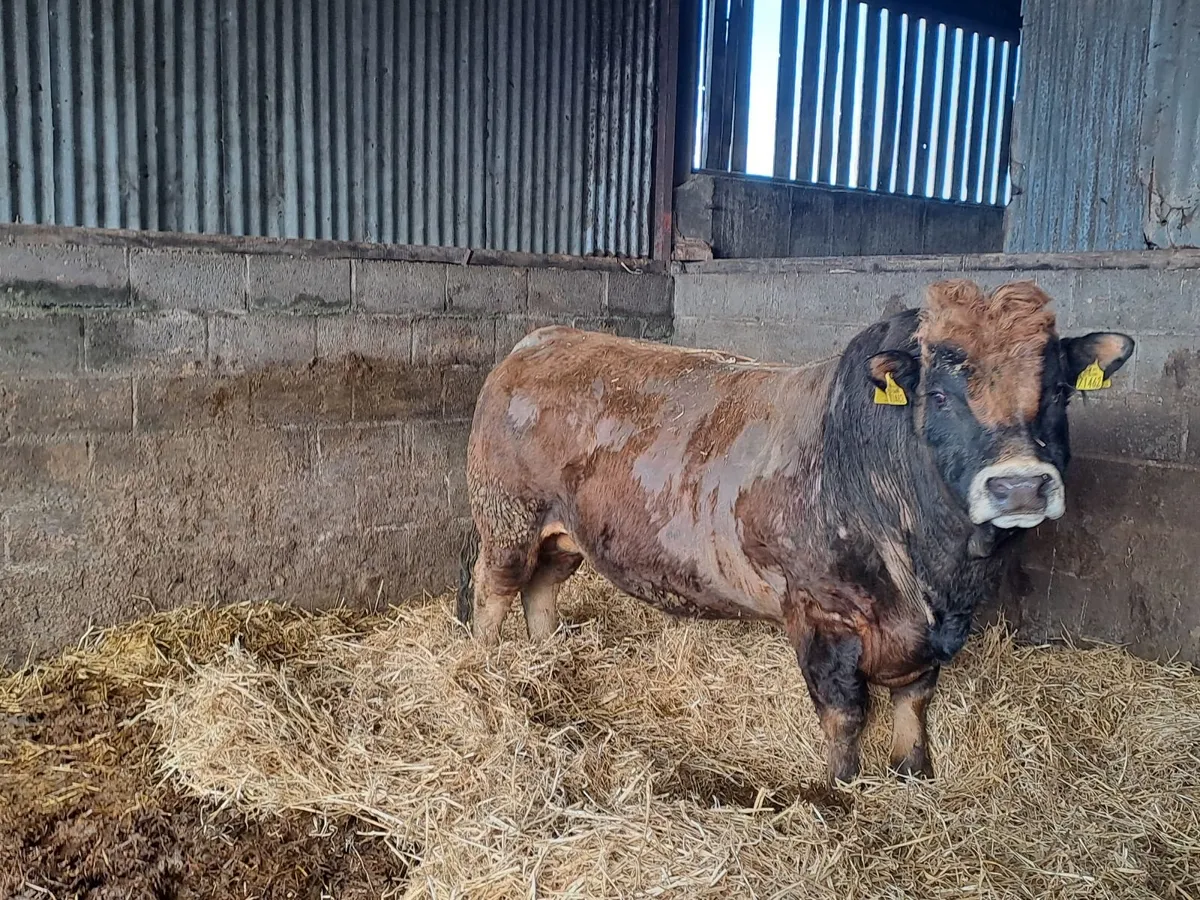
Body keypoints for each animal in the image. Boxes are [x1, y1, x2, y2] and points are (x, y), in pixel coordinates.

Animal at [457, 278, 1133, 784]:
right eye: (940, 395)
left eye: (1059, 391)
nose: (1020, 486)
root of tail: (540, 340)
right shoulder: (820, 613)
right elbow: (844, 713)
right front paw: (841, 791)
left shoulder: (937, 631)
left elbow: (914, 701)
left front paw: (915, 773)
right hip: (508, 515)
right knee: (494, 588)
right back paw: (486, 666)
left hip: (565, 533)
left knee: (542, 587)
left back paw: (544, 653)